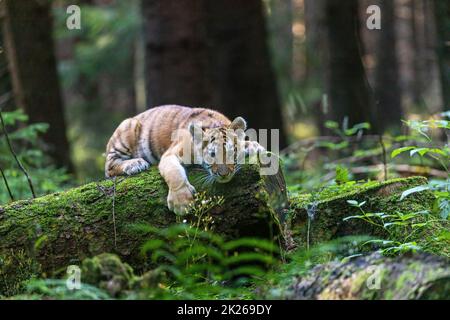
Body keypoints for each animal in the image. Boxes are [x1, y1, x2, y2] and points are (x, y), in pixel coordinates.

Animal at [105, 105, 264, 215]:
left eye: (232, 152)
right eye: (212, 154)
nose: (224, 174)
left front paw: (253, 146)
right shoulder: (170, 155)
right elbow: (175, 174)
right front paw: (181, 203)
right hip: (127, 128)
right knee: (109, 166)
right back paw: (135, 164)